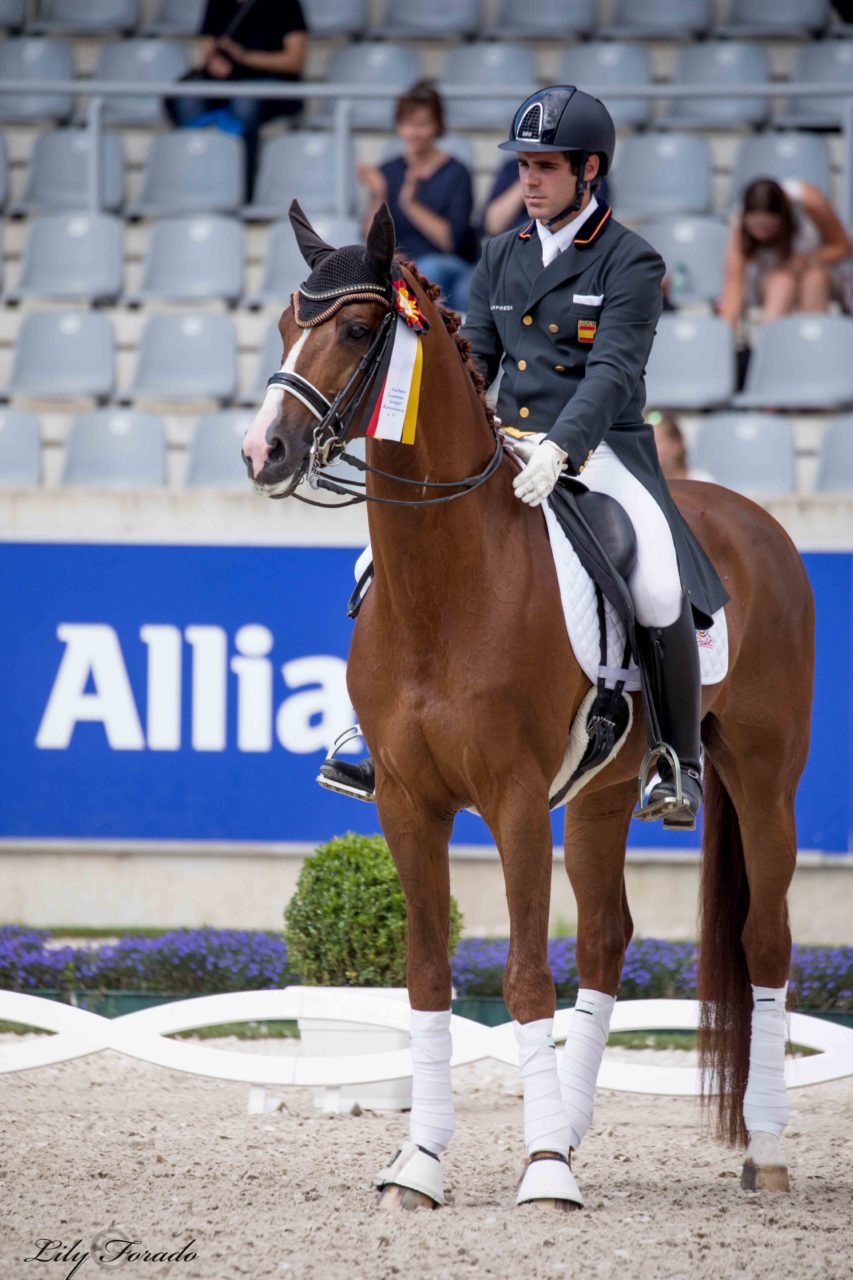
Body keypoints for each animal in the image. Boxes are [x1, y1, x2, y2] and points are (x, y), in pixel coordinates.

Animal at [242, 207, 814, 1208]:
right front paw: (421, 1163)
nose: (260, 451)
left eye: (354, 328)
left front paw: (542, 1171)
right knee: (606, 940)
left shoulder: (512, 801)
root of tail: (754, 521)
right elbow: (429, 976)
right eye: (282, 323)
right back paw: (575, 1129)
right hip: (600, 796)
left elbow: (521, 981)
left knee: (764, 941)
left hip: (761, 775)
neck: (446, 586)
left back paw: (765, 1151)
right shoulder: (407, 803)